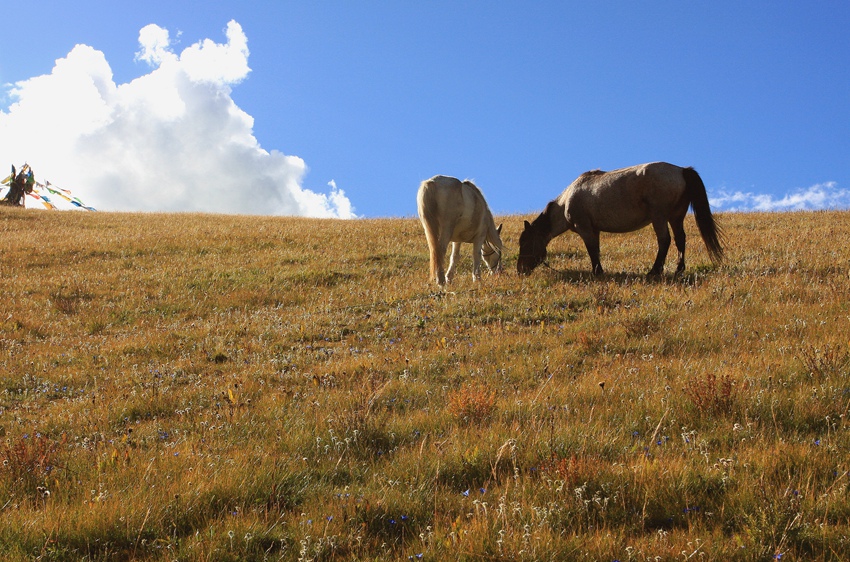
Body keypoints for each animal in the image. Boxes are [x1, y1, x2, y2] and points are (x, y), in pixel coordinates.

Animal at [516, 162, 724, 276]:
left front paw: (597, 272)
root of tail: (681, 170)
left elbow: (591, 250)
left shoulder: (584, 228)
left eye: (525, 243)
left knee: (664, 241)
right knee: (680, 239)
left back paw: (654, 271)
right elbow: (596, 250)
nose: (520, 270)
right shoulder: (594, 229)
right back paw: (678, 269)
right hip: (675, 217)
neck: (567, 200)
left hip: (659, 217)